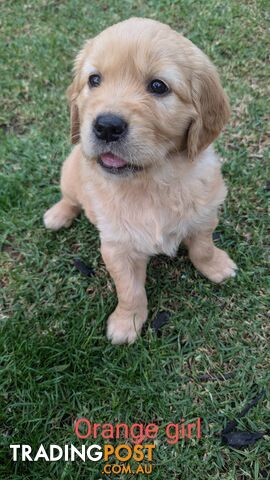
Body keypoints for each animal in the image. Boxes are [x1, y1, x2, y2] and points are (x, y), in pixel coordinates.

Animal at [43, 16, 236, 344]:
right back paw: (57, 215)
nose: (107, 126)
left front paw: (216, 266)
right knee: (70, 198)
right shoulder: (117, 247)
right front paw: (126, 322)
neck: (152, 180)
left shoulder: (204, 214)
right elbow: (130, 290)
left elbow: (203, 247)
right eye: (94, 80)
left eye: (158, 86)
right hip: (69, 169)